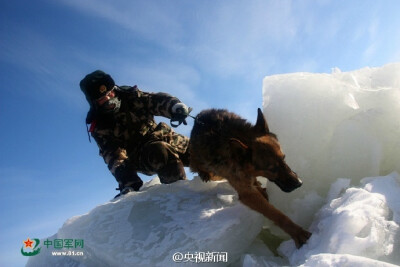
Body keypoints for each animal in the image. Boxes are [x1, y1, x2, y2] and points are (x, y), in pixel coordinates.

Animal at [189, 108, 310, 248]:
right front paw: (297, 232)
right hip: (200, 160)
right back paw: (204, 173)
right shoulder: (247, 193)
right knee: (197, 165)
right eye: (272, 169)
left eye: (284, 158)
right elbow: (275, 214)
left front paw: (260, 188)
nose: (299, 183)